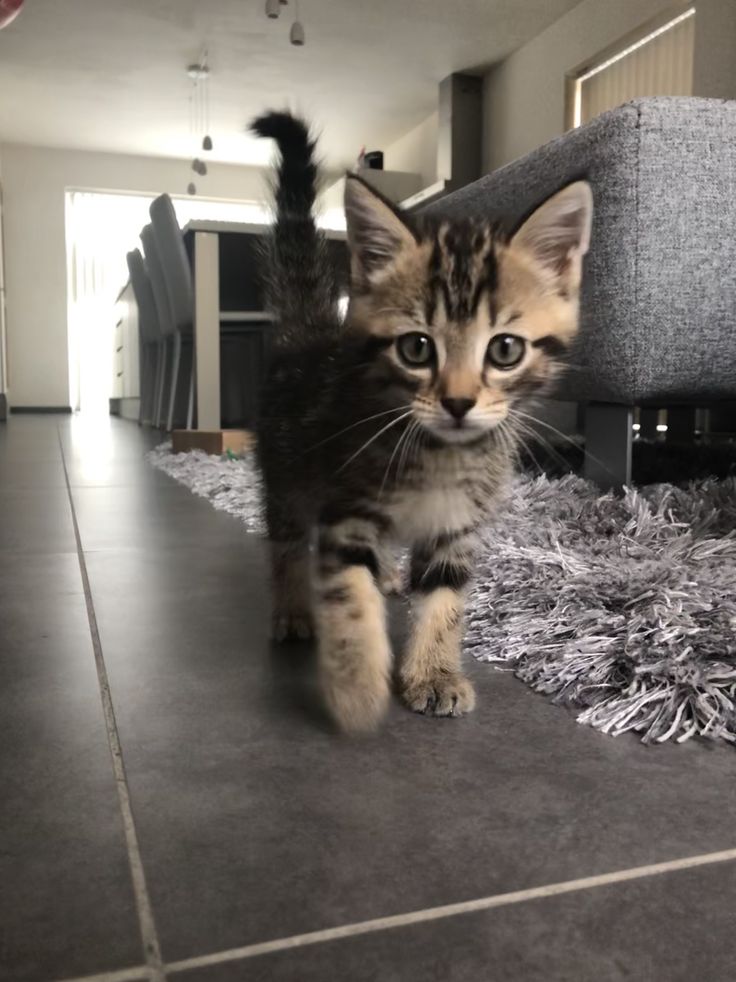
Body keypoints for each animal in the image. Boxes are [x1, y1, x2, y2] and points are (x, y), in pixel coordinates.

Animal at [253, 111, 592, 736]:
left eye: (505, 350)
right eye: (416, 349)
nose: (458, 402)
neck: (441, 453)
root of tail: (309, 337)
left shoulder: (457, 524)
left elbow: (443, 597)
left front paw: (433, 673)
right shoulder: (346, 507)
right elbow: (349, 599)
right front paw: (357, 689)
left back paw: (388, 573)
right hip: (284, 470)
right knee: (285, 541)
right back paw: (291, 609)